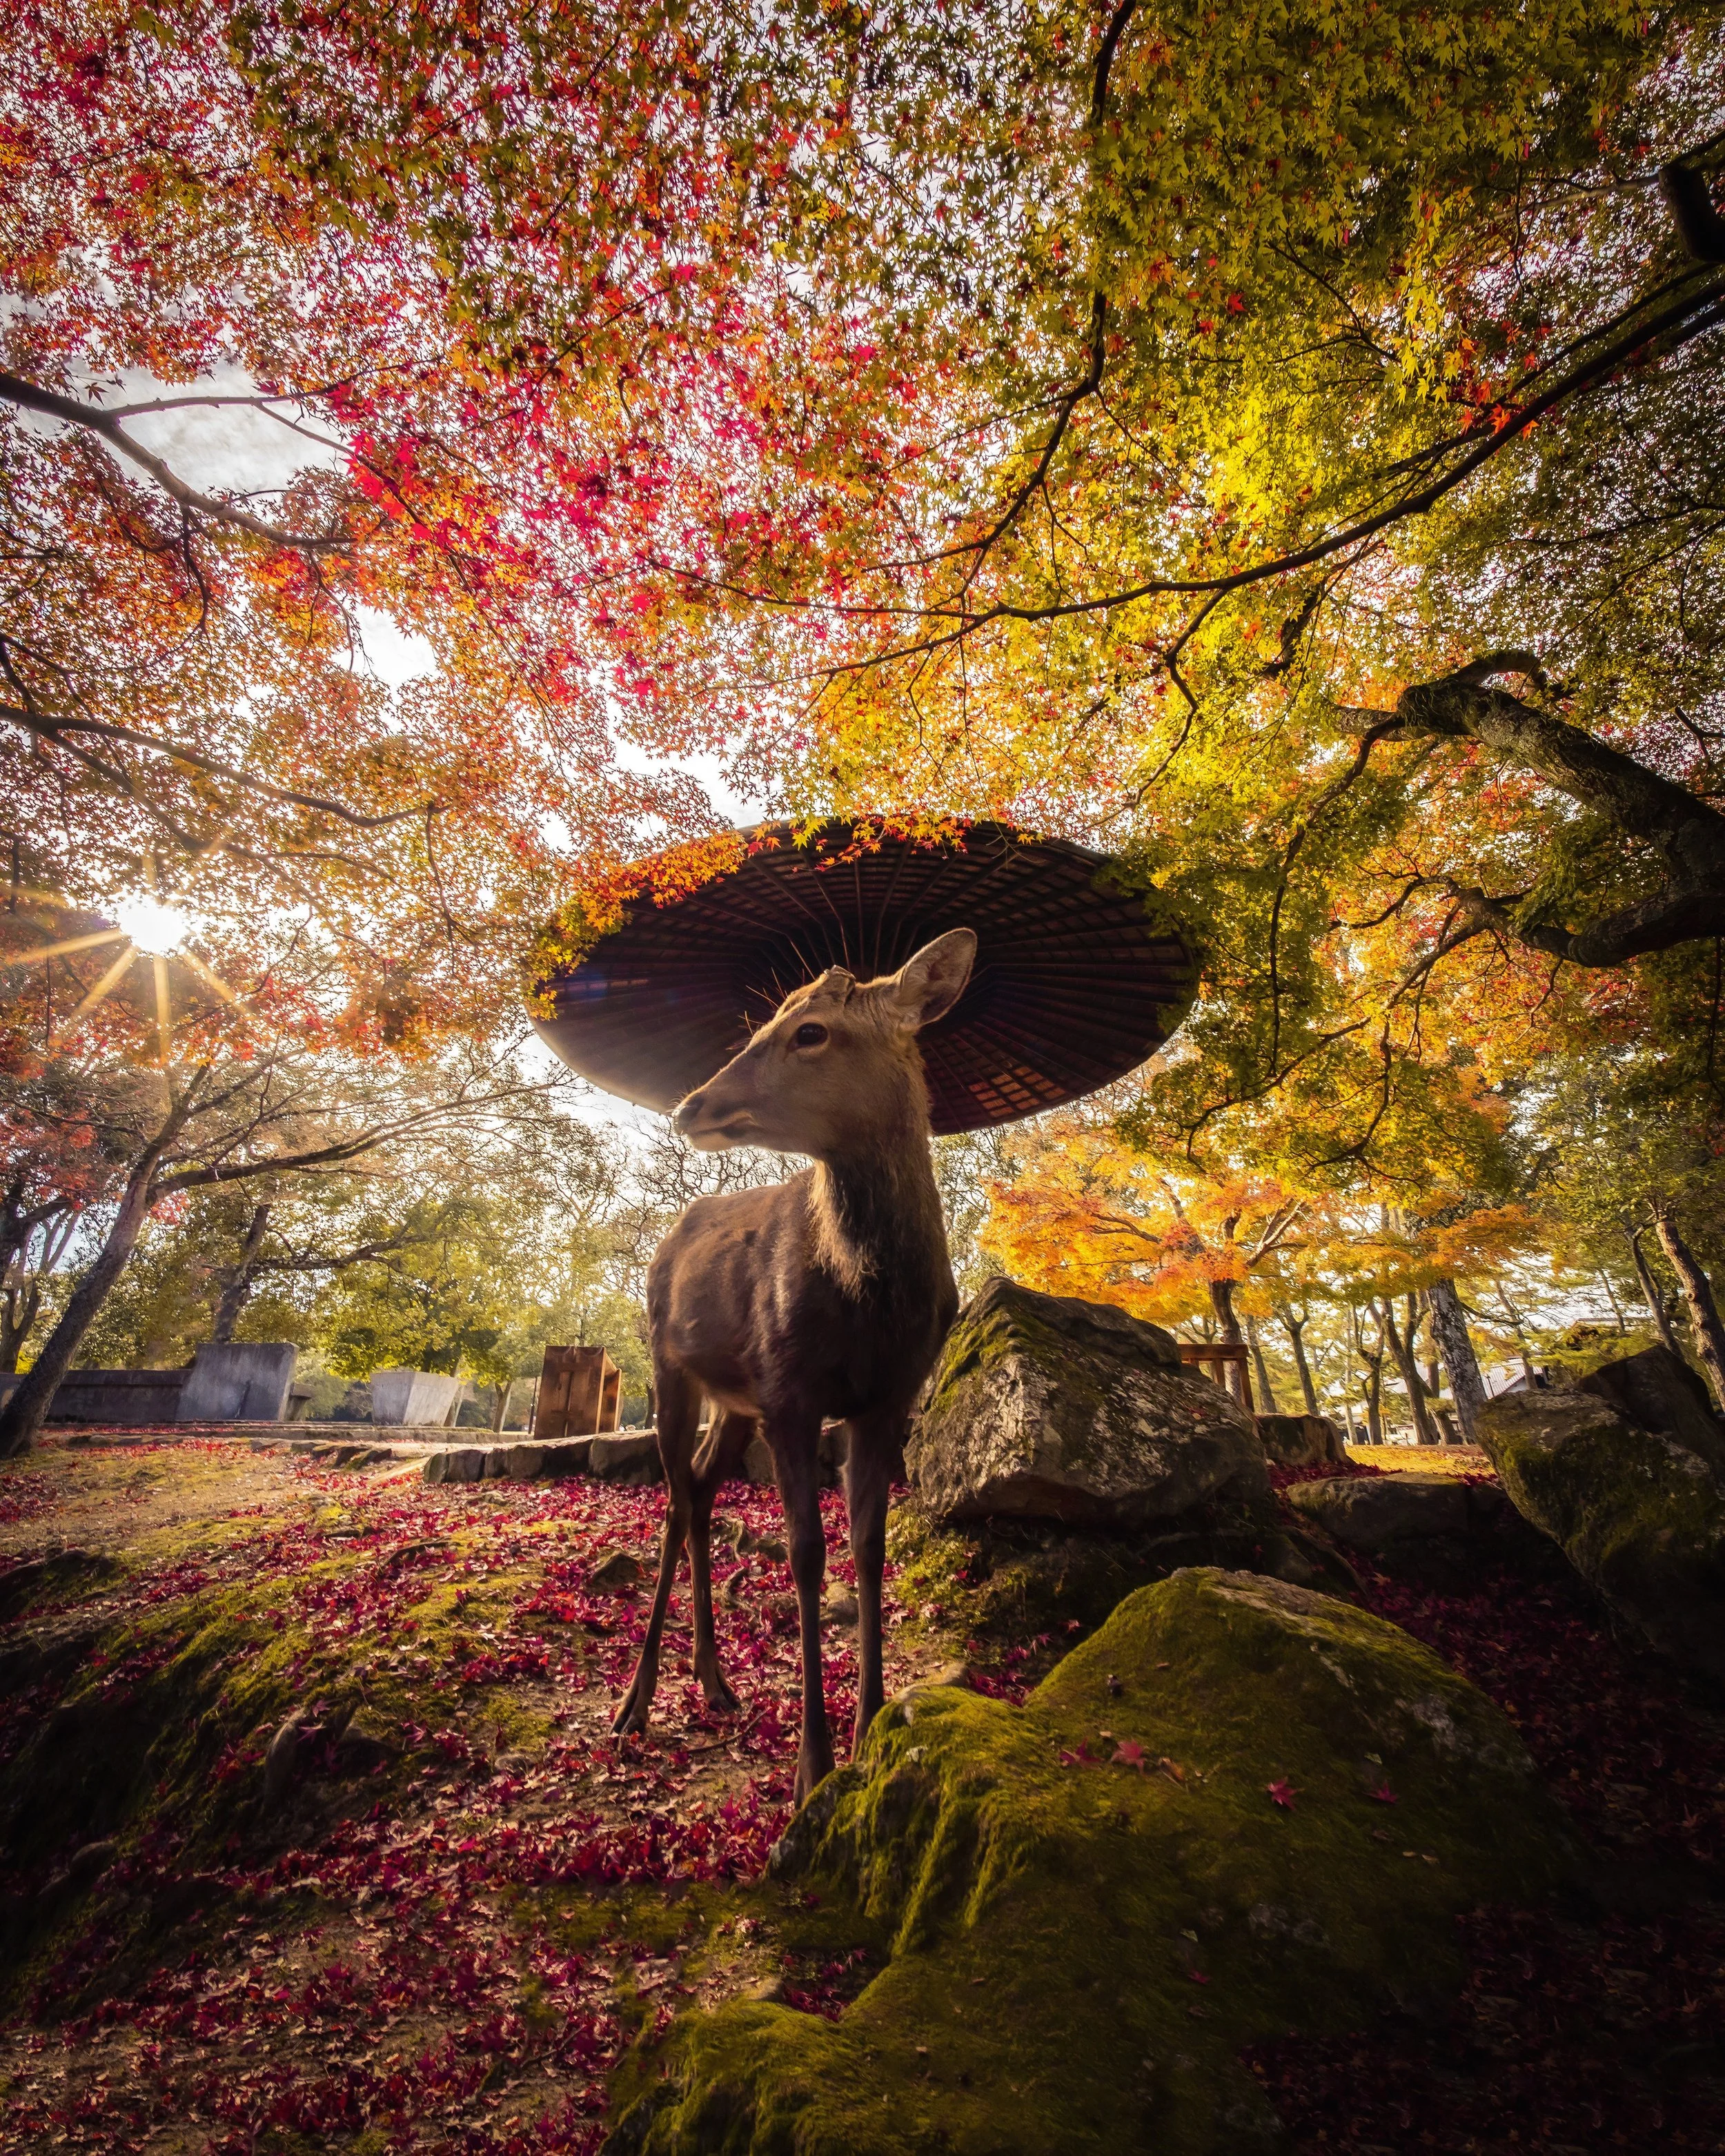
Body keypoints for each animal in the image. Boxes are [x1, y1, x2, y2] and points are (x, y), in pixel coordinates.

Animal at [612, 927, 976, 1802]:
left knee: (700, 1492)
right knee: (674, 1500)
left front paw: (869, 1726)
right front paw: (812, 1764)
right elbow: (807, 1553)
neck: (870, 1303)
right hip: (668, 1367)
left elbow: (870, 1545)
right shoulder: (789, 1392)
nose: (689, 1105)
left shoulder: (886, 1401)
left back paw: (713, 1679)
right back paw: (636, 1701)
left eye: (810, 1030)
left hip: (731, 1402)